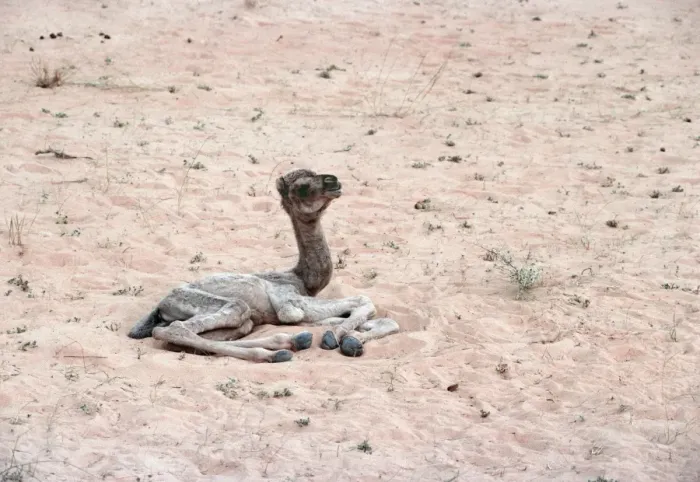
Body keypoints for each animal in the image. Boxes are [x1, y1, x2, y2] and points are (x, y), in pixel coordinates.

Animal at [127, 168, 400, 362]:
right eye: (302, 186)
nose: (333, 181)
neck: (303, 279)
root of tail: (160, 305)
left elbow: (386, 321)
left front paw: (352, 338)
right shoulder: (291, 305)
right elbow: (363, 300)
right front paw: (338, 338)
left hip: (238, 322)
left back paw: (291, 343)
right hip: (219, 305)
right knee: (177, 330)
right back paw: (280, 351)